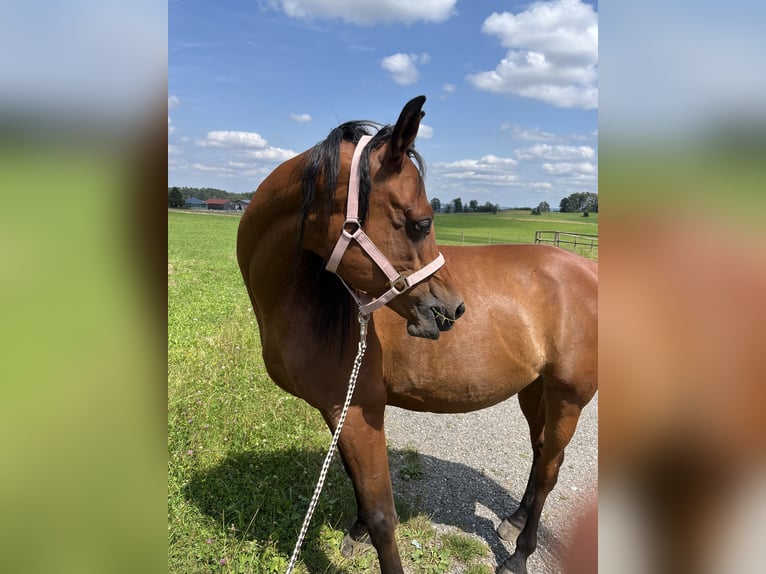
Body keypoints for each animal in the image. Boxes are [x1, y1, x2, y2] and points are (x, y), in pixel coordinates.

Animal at [236, 97, 600, 572]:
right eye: (421, 223)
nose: (452, 309)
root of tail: (588, 268)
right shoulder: (341, 410)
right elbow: (356, 482)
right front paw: (355, 531)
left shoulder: (358, 409)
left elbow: (382, 513)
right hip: (535, 390)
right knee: (541, 457)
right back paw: (515, 521)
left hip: (567, 398)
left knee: (550, 471)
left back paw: (519, 554)